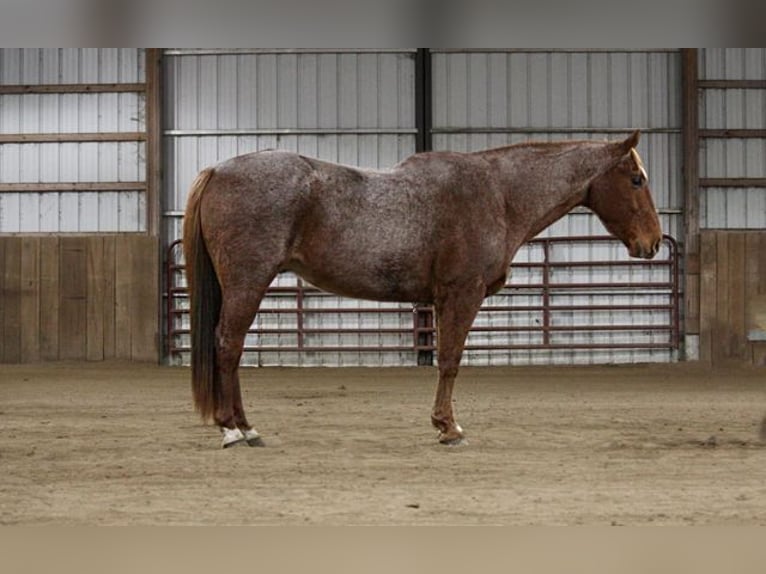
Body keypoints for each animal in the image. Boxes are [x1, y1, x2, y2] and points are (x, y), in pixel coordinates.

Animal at [183, 129, 664, 450]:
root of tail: (218, 169)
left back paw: (247, 427)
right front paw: (448, 428)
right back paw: (232, 428)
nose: (654, 243)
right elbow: (449, 361)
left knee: (233, 348)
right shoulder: (461, 294)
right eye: (636, 179)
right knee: (228, 345)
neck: (498, 194)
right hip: (248, 281)